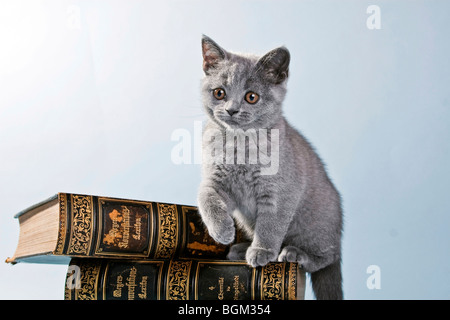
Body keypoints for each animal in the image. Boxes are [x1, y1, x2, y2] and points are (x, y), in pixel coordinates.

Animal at [198, 35, 344, 300]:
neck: (239, 147)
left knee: (327, 258)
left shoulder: (280, 192)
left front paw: (263, 251)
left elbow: (271, 224)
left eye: (251, 97)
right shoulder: (217, 180)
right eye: (219, 93)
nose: (231, 109)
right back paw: (240, 248)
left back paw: (293, 253)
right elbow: (205, 196)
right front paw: (222, 230)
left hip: (314, 223)